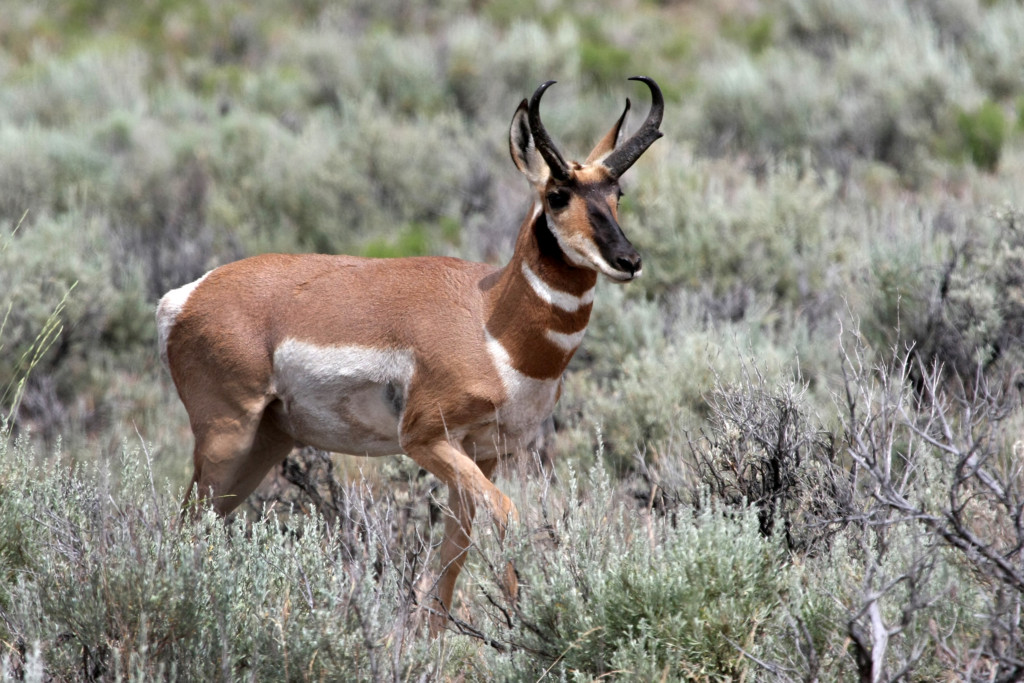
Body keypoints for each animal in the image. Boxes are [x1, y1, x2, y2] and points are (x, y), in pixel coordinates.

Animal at [157, 77, 663, 633]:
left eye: (617, 192)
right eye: (558, 195)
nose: (628, 261)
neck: (489, 318)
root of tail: (187, 296)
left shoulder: (485, 455)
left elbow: (452, 560)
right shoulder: (425, 440)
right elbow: (506, 517)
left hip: (265, 443)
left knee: (204, 523)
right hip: (226, 437)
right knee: (184, 526)